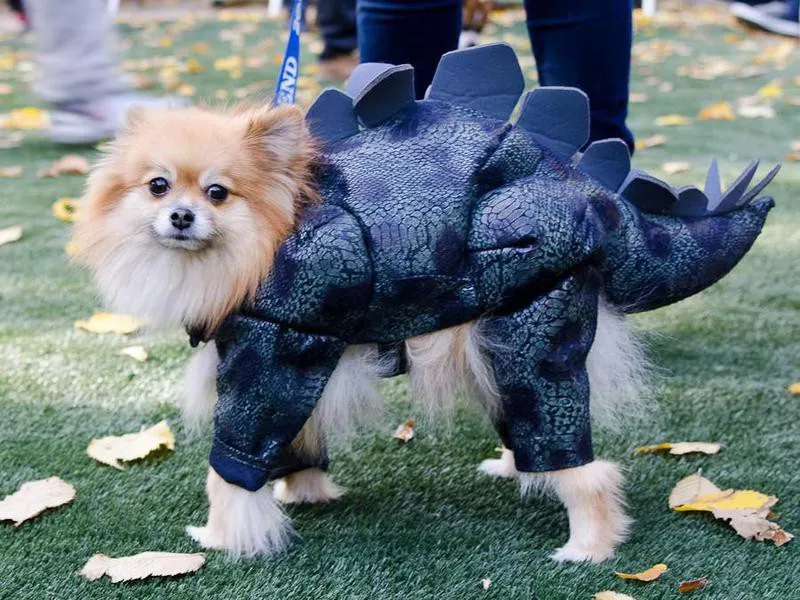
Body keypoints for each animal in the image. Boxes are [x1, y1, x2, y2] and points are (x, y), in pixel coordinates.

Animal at [73, 104, 644, 564]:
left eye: (218, 193)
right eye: (158, 185)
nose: (181, 215)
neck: (262, 249)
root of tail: (592, 199)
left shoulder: (269, 356)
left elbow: (230, 468)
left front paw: (224, 538)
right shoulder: (289, 364)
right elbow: (299, 440)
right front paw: (302, 492)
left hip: (532, 338)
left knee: (585, 465)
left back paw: (588, 548)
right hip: (499, 347)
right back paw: (519, 472)